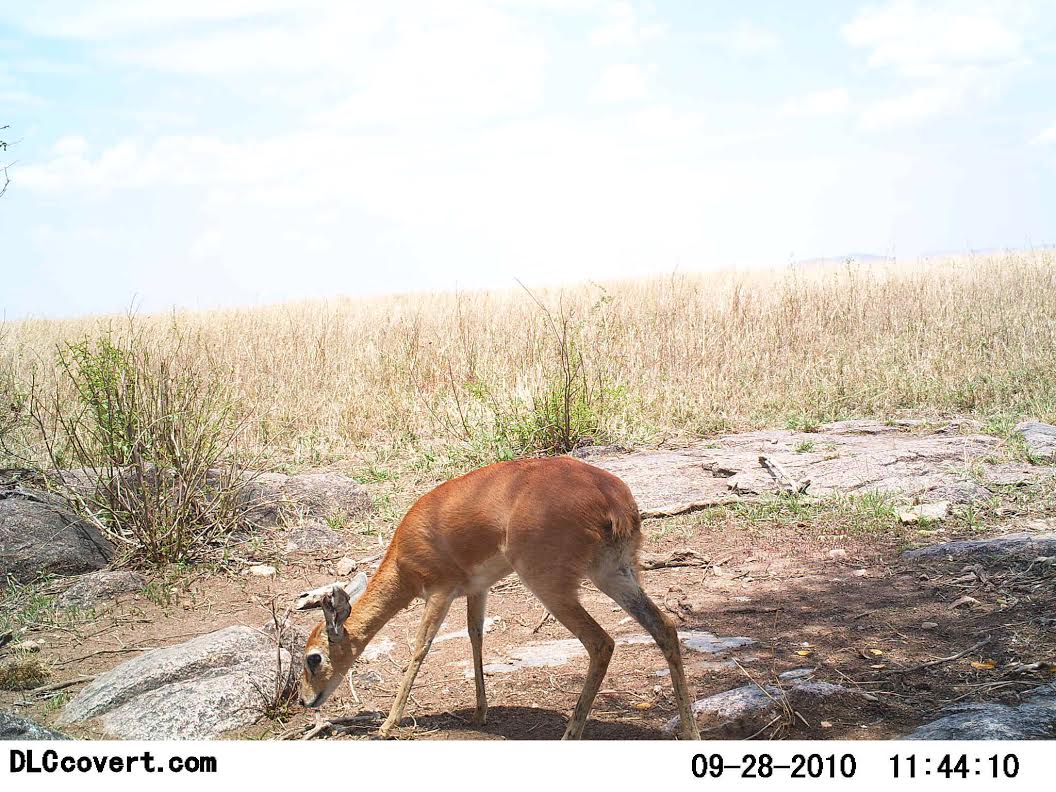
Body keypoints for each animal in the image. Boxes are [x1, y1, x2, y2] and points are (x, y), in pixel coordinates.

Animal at [295, 456, 700, 739]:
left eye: (313, 657)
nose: (304, 699)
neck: (402, 557)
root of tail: (612, 499)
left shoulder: (439, 592)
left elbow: (421, 646)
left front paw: (387, 725)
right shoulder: (477, 589)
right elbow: (476, 636)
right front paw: (480, 712)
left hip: (550, 585)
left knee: (601, 642)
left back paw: (570, 733)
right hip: (615, 574)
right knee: (665, 628)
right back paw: (690, 732)